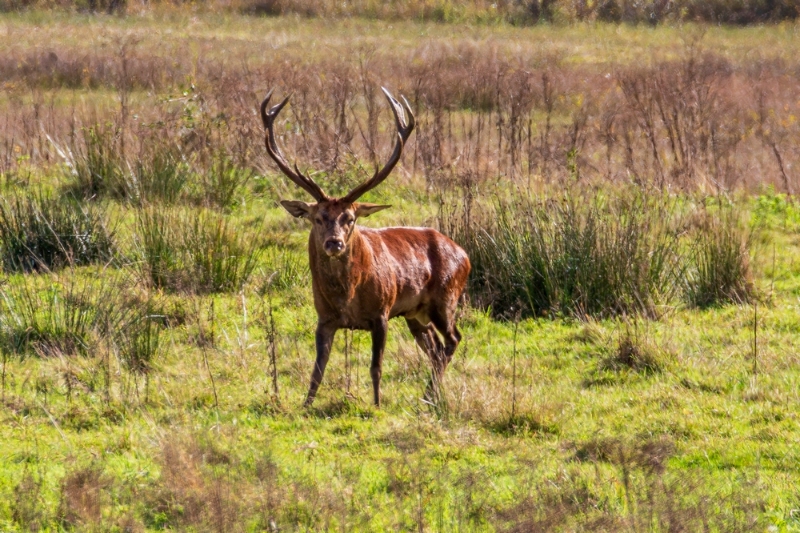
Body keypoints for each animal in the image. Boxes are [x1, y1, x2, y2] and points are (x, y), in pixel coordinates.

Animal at [260, 87, 472, 408]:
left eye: (350, 218)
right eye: (318, 218)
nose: (334, 242)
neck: (347, 296)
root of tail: (464, 254)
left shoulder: (382, 312)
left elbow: (376, 366)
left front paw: (377, 405)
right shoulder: (324, 318)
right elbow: (317, 368)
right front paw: (305, 405)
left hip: (445, 298)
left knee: (453, 340)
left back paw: (429, 395)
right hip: (415, 314)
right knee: (435, 349)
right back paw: (429, 397)